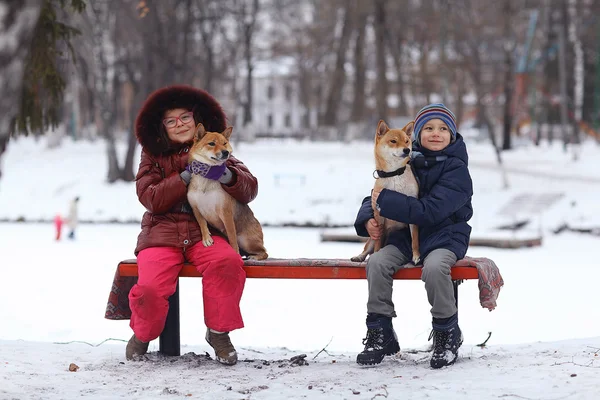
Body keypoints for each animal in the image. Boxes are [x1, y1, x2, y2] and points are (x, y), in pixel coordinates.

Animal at [188, 122, 268, 260]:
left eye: (225, 143)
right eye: (211, 143)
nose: (226, 152)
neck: (206, 178)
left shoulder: (225, 212)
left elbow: (232, 236)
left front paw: (235, 252)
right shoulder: (196, 208)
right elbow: (202, 223)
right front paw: (207, 238)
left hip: (247, 241)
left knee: (264, 252)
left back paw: (254, 257)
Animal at [354, 119, 420, 264]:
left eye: (407, 141)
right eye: (393, 141)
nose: (407, 150)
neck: (394, 174)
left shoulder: (412, 211)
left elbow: (415, 237)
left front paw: (416, 255)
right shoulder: (379, 216)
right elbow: (377, 243)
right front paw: (375, 254)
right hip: (372, 237)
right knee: (368, 248)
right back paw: (359, 257)